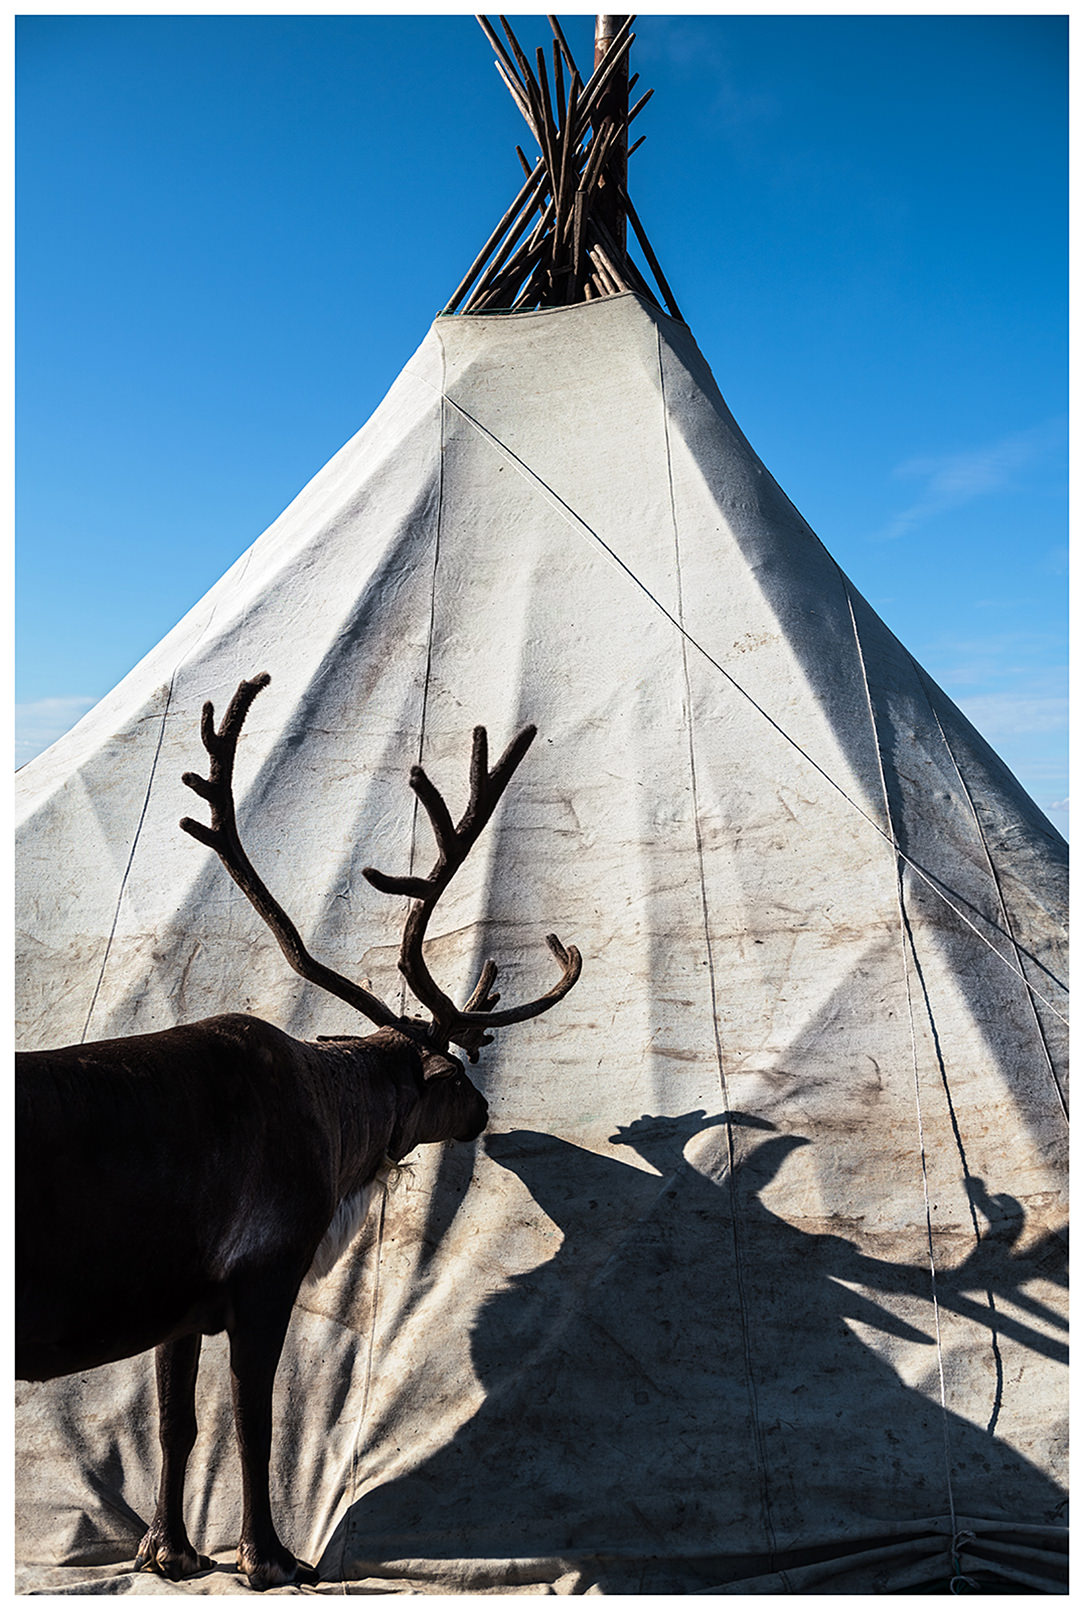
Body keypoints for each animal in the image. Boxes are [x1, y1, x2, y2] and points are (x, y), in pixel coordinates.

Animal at [16, 672, 581, 1591]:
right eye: (456, 1076)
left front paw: (168, 1550)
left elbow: (176, 1422)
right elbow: (256, 1420)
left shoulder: (180, 1298)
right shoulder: (266, 1269)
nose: (486, 1113)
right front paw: (268, 1556)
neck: (337, 1131)